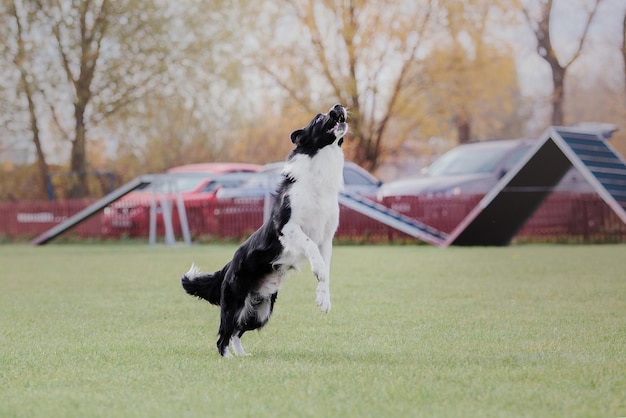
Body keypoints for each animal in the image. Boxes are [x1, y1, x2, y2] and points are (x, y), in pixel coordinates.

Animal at [180, 104, 346, 356]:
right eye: (318, 118)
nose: (338, 106)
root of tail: (227, 266)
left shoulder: (326, 238)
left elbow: (325, 269)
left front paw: (323, 298)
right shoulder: (286, 226)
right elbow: (309, 246)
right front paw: (317, 269)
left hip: (262, 310)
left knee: (237, 331)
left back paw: (242, 356)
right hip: (235, 302)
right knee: (223, 335)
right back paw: (228, 358)